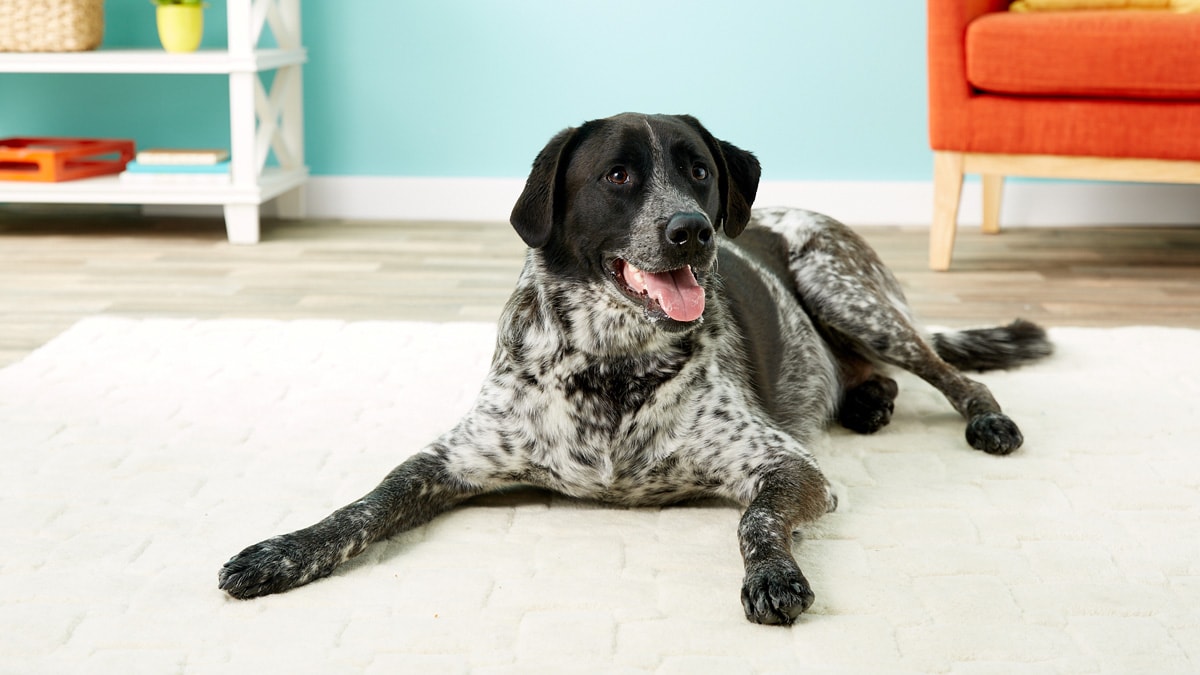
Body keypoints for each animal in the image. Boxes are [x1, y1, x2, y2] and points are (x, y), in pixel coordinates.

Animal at [220, 112, 1056, 624]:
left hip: (844, 289)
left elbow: (756, 518)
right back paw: (868, 400)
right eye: (617, 176)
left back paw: (983, 417)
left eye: (699, 171)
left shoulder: (785, 465)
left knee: (953, 372)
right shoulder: (449, 460)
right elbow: (362, 505)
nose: (691, 230)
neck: (610, 361)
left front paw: (773, 573)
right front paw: (283, 550)